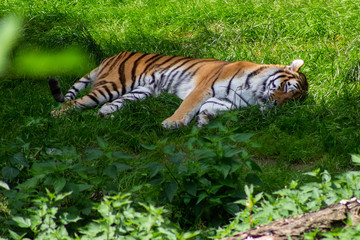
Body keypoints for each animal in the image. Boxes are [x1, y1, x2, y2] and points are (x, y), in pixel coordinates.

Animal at [48, 51, 310, 128]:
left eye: (293, 100)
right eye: (286, 87)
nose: (276, 104)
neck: (254, 93)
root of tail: (112, 56)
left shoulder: (227, 102)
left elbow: (210, 109)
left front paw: (204, 121)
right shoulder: (203, 89)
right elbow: (187, 107)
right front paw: (173, 123)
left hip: (140, 91)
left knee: (113, 104)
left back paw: (106, 114)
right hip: (113, 84)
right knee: (74, 102)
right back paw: (56, 116)